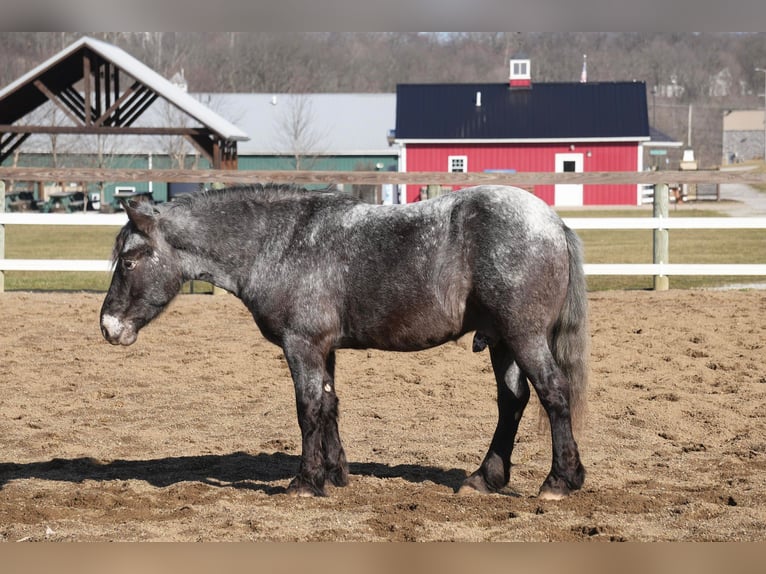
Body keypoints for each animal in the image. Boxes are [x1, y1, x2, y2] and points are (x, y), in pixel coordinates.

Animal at [100, 184, 589, 499]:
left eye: (129, 260)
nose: (108, 326)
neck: (280, 242)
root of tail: (552, 222)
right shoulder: (324, 349)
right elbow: (330, 405)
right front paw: (335, 474)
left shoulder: (302, 346)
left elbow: (308, 409)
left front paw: (305, 481)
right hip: (504, 341)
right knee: (513, 403)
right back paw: (486, 478)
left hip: (524, 336)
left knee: (553, 393)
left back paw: (559, 481)